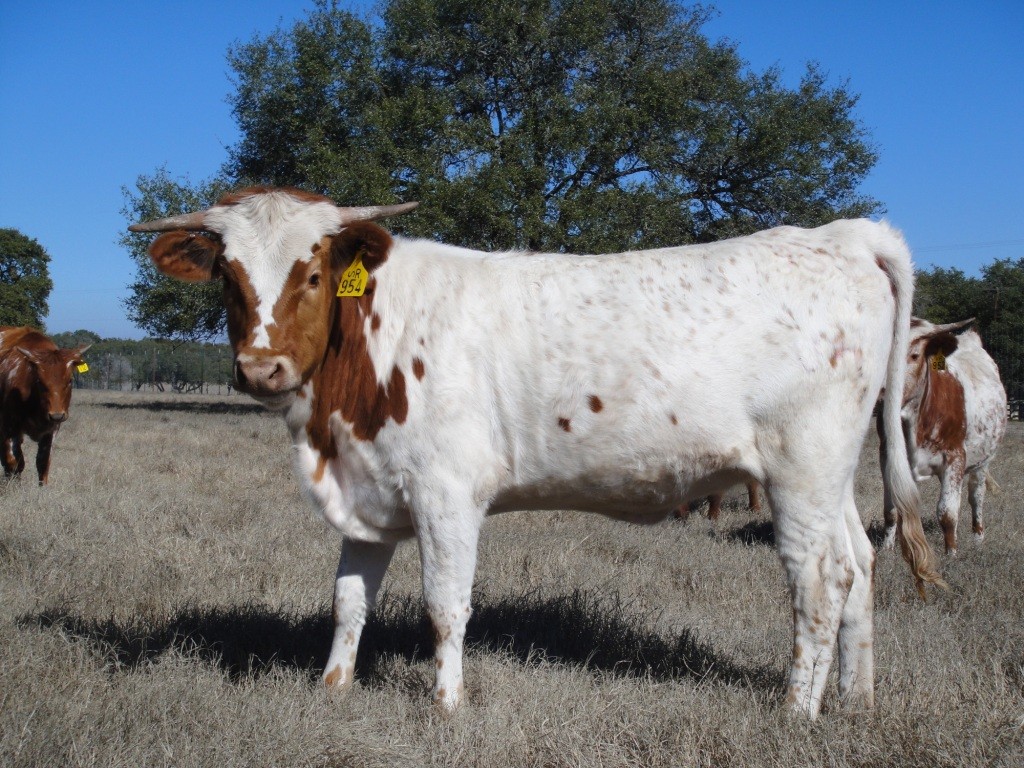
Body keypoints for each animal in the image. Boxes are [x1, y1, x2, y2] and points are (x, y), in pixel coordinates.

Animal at [0, 327, 89, 484]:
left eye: (70, 380)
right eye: (39, 382)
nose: (57, 415)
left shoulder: (51, 431)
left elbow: (43, 463)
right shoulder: (8, 426)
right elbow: (14, 462)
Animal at [130, 187, 942, 719]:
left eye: (312, 271)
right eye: (227, 276)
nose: (261, 368)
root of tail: (842, 235)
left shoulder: (447, 493)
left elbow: (445, 605)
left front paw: (446, 705)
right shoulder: (372, 492)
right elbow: (350, 600)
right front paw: (333, 688)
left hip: (801, 466)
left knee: (820, 579)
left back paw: (795, 712)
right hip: (829, 474)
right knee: (858, 567)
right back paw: (854, 702)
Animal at [878, 318, 1007, 555]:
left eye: (914, 355)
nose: (883, 393)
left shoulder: (955, 457)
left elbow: (947, 512)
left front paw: (951, 554)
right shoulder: (886, 455)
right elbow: (891, 509)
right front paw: (887, 548)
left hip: (983, 461)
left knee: (976, 496)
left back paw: (978, 538)